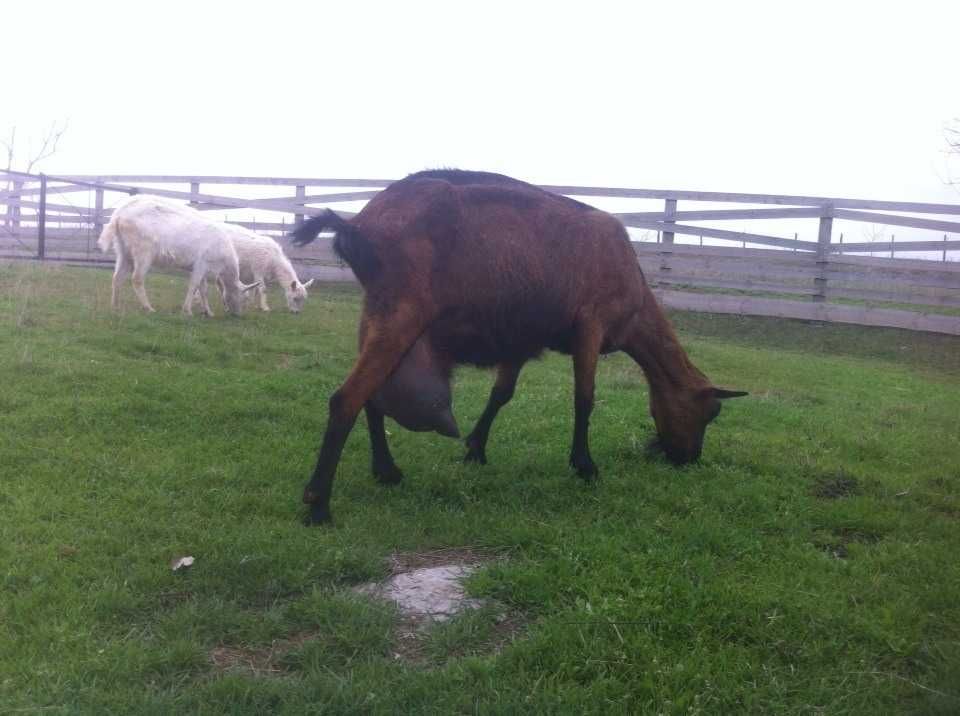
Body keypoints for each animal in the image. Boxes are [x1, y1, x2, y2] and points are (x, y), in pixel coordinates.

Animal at [96, 194, 258, 314]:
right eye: (244, 298)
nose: (237, 314)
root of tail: (118, 216)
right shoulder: (202, 263)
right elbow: (194, 285)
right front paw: (187, 311)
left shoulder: (204, 268)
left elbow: (203, 290)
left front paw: (208, 312)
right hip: (143, 250)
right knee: (137, 279)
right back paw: (148, 307)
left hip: (123, 250)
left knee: (117, 277)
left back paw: (115, 306)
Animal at [292, 171, 752, 524]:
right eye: (711, 412)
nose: (688, 458)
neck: (636, 303)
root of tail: (356, 226)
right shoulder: (591, 324)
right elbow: (584, 398)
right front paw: (585, 466)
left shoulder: (518, 338)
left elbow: (502, 394)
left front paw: (475, 449)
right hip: (401, 311)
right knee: (347, 398)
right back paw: (319, 505)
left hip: (377, 313)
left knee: (372, 397)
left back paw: (386, 471)